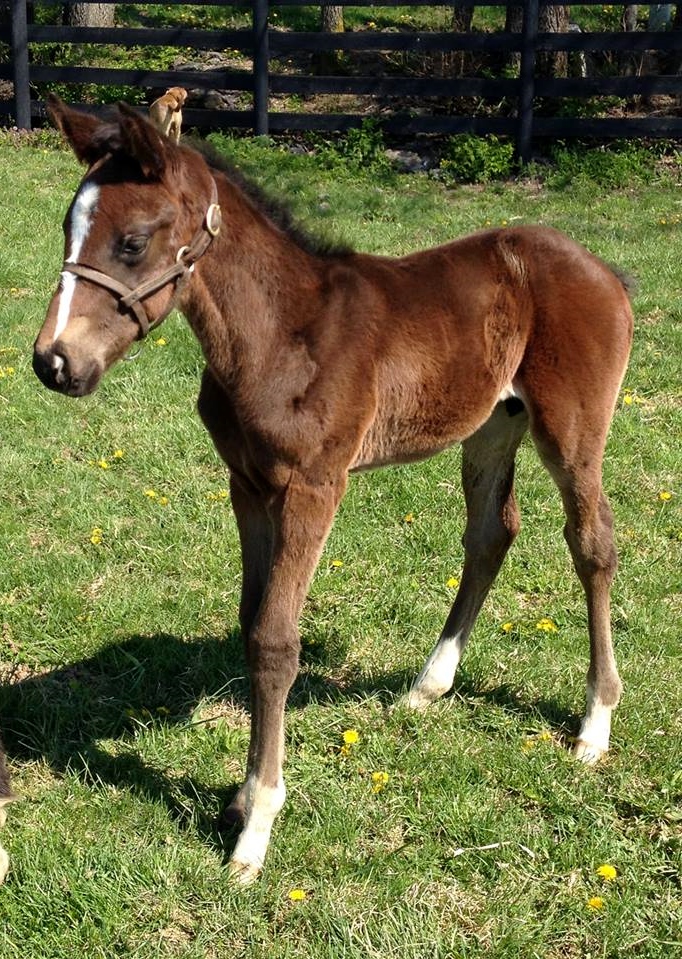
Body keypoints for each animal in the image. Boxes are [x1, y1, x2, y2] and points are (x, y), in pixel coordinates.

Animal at [33, 97, 632, 884]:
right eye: (67, 227)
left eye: (131, 242)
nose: (53, 361)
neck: (281, 332)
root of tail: (601, 268)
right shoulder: (248, 485)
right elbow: (252, 621)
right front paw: (241, 793)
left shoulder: (315, 487)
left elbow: (276, 640)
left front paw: (256, 827)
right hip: (492, 424)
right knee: (490, 533)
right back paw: (427, 685)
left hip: (571, 430)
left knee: (591, 543)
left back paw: (594, 723)